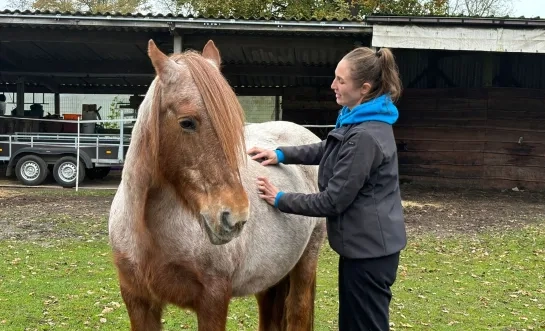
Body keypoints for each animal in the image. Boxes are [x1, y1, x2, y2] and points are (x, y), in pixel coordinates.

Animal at [108, 39, 326, 331]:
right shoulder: (138, 300)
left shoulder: (213, 299)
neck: (147, 229)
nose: (235, 216)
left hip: (307, 259)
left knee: (298, 311)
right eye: (187, 122)